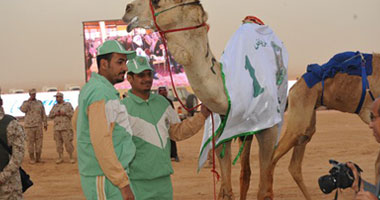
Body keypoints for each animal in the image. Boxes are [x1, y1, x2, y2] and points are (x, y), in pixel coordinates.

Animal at [123, 0, 280, 199]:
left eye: (158, 3)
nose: (128, 8)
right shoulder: (222, 130)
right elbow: (226, 190)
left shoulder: (269, 129)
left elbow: (264, 191)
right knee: (245, 173)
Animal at [266, 52, 380, 198]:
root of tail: (293, 87)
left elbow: (377, 163)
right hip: (299, 118)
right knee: (273, 157)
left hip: (307, 123)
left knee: (294, 166)